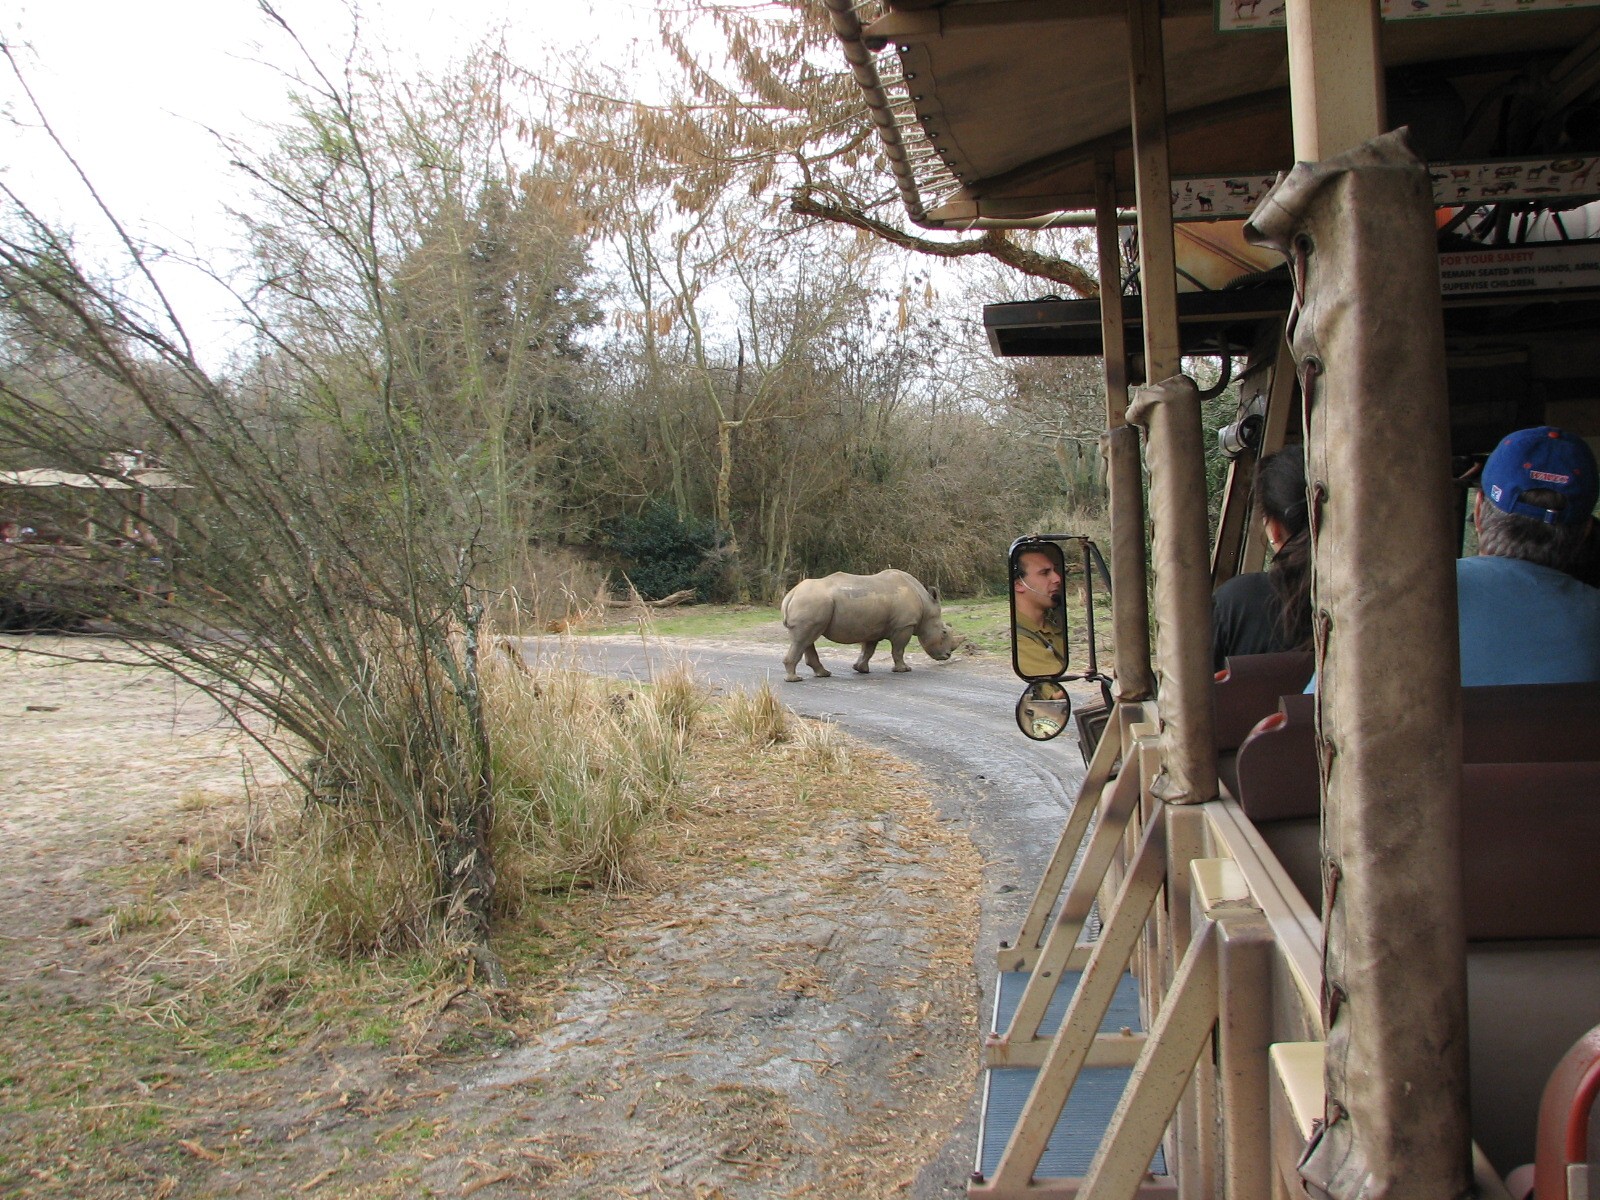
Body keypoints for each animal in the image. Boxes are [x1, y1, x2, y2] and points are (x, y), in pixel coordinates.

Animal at [780, 569, 963, 682]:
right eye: (944, 632)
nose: (947, 655)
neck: (926, 605)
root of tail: (791, 594)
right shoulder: (904, 626)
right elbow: (898, 649)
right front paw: (904, 670)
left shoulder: (873, 627)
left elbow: (868, 650)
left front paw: (861, 669)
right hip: (812, 601)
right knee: (803, 639)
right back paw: (795, 679)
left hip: (812, 603)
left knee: (807, 639)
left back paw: (823, 674)